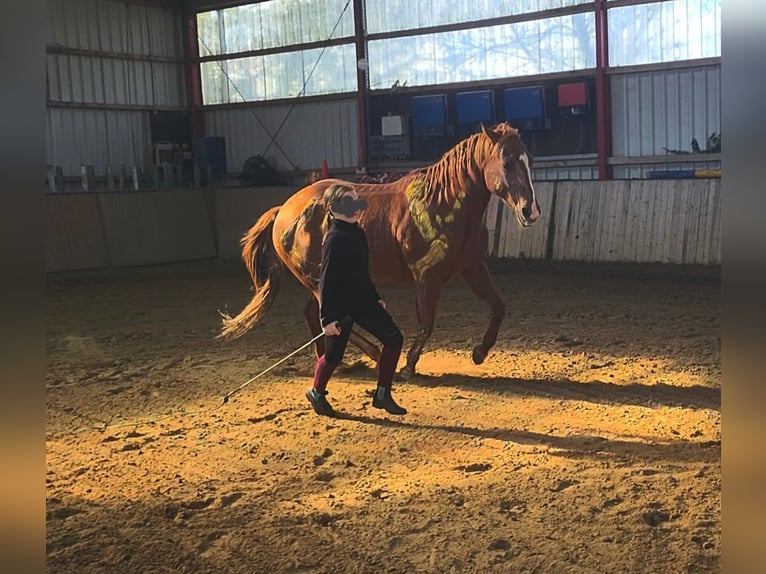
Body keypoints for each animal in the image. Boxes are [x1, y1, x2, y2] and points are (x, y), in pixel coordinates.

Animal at [219, 122, 540, 379]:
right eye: (507, 162)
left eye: (529, 160)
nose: (531, 211)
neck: (442, 202)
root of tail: (284, 210)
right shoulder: (426, 277)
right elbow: (426, 324)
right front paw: (408, 366)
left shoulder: (472, 268)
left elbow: (498, 307)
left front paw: (479, 352)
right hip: (317, 280)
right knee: (330, 319)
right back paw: (373, 354)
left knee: (316, 316)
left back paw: (332, 360)